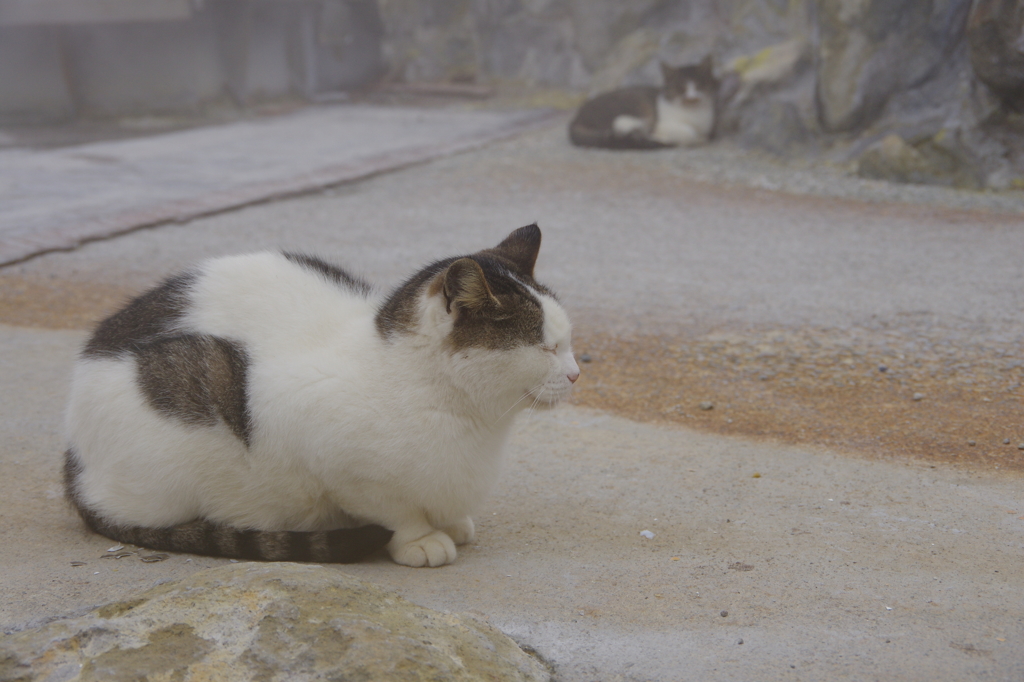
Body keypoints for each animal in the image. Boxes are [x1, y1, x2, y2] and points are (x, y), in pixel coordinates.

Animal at [61, 225, 577, 565]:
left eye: (567, 342)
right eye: (545, 347)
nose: (575, 375)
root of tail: (74, 466)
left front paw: (450, 522)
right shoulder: (330, 456)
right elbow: (396, 510)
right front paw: (420, 538)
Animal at [569, 57, 720, 150]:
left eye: (700, 86)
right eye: (680, 88)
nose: (691, 98)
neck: (694, 115)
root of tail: (575, 119)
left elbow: (702, 136)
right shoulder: (661, 125)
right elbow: (689, 133)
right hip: (638, 105)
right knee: (622, 129)